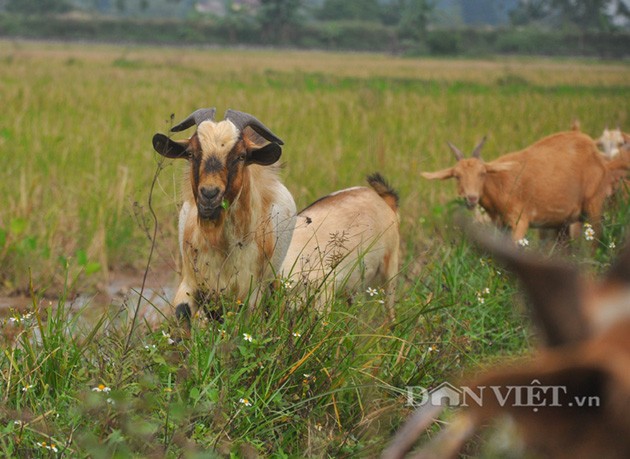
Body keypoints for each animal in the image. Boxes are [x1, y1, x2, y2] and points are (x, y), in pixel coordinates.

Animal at [156, 108, 298, 328]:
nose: (209, 194)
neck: (220, 245)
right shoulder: (190, 282)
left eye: (241, 156)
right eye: (191, 153)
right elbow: (182, 315)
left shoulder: (251, 293)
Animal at [422, 131, 624, 243]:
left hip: (594, 204)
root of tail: (596, 155)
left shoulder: (520, 222)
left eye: (482, 173)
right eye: (457, 176)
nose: (471, 198)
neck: (499, 183)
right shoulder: (501, 226)